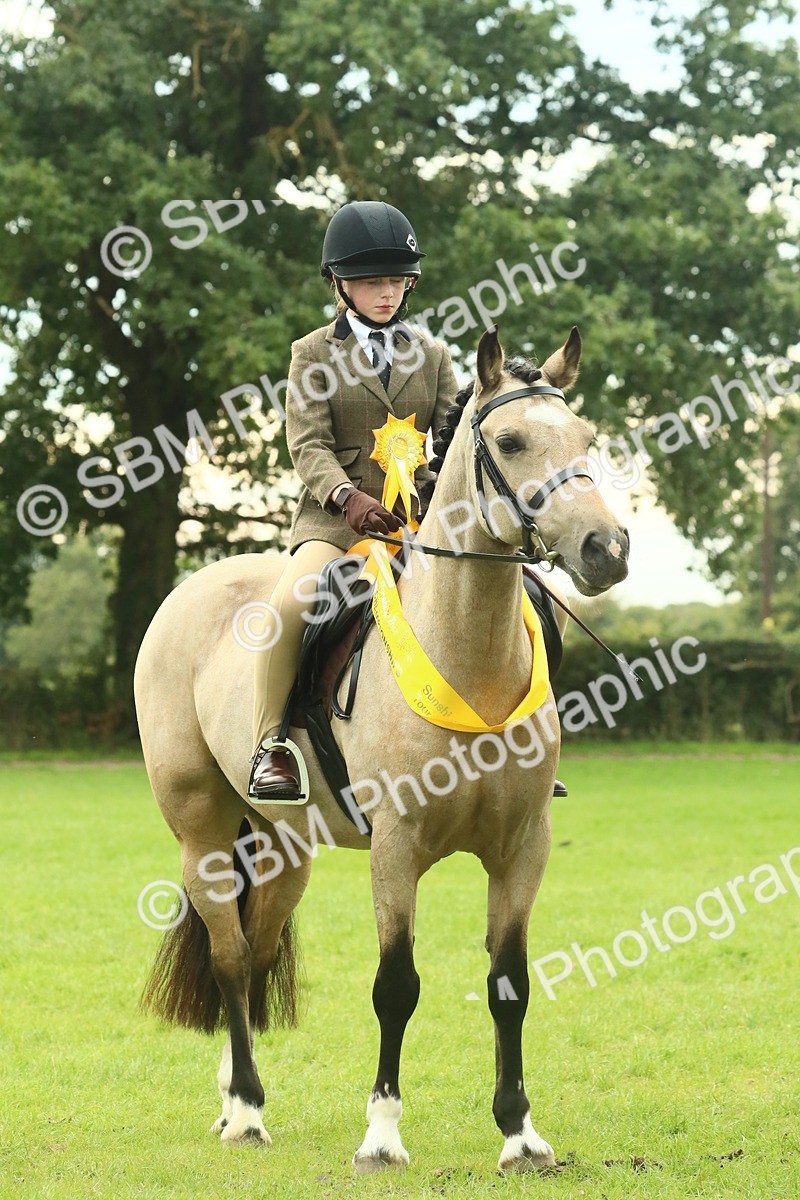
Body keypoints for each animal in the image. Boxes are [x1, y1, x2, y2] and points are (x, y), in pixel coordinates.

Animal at [135, 325, 629, 1173]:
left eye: (586, 439)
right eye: (509, 441)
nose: (606, 548)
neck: (468, 656)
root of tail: (192, 589)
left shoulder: (522, 848)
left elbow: (511, 984)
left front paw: (519, 1133)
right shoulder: (396, 849)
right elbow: (395, 987)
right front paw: (382, 1135)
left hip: (284, 849)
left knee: (256, 952)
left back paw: (237, 1096)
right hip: (201, 830)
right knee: (230, 956)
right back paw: (247, 1112)